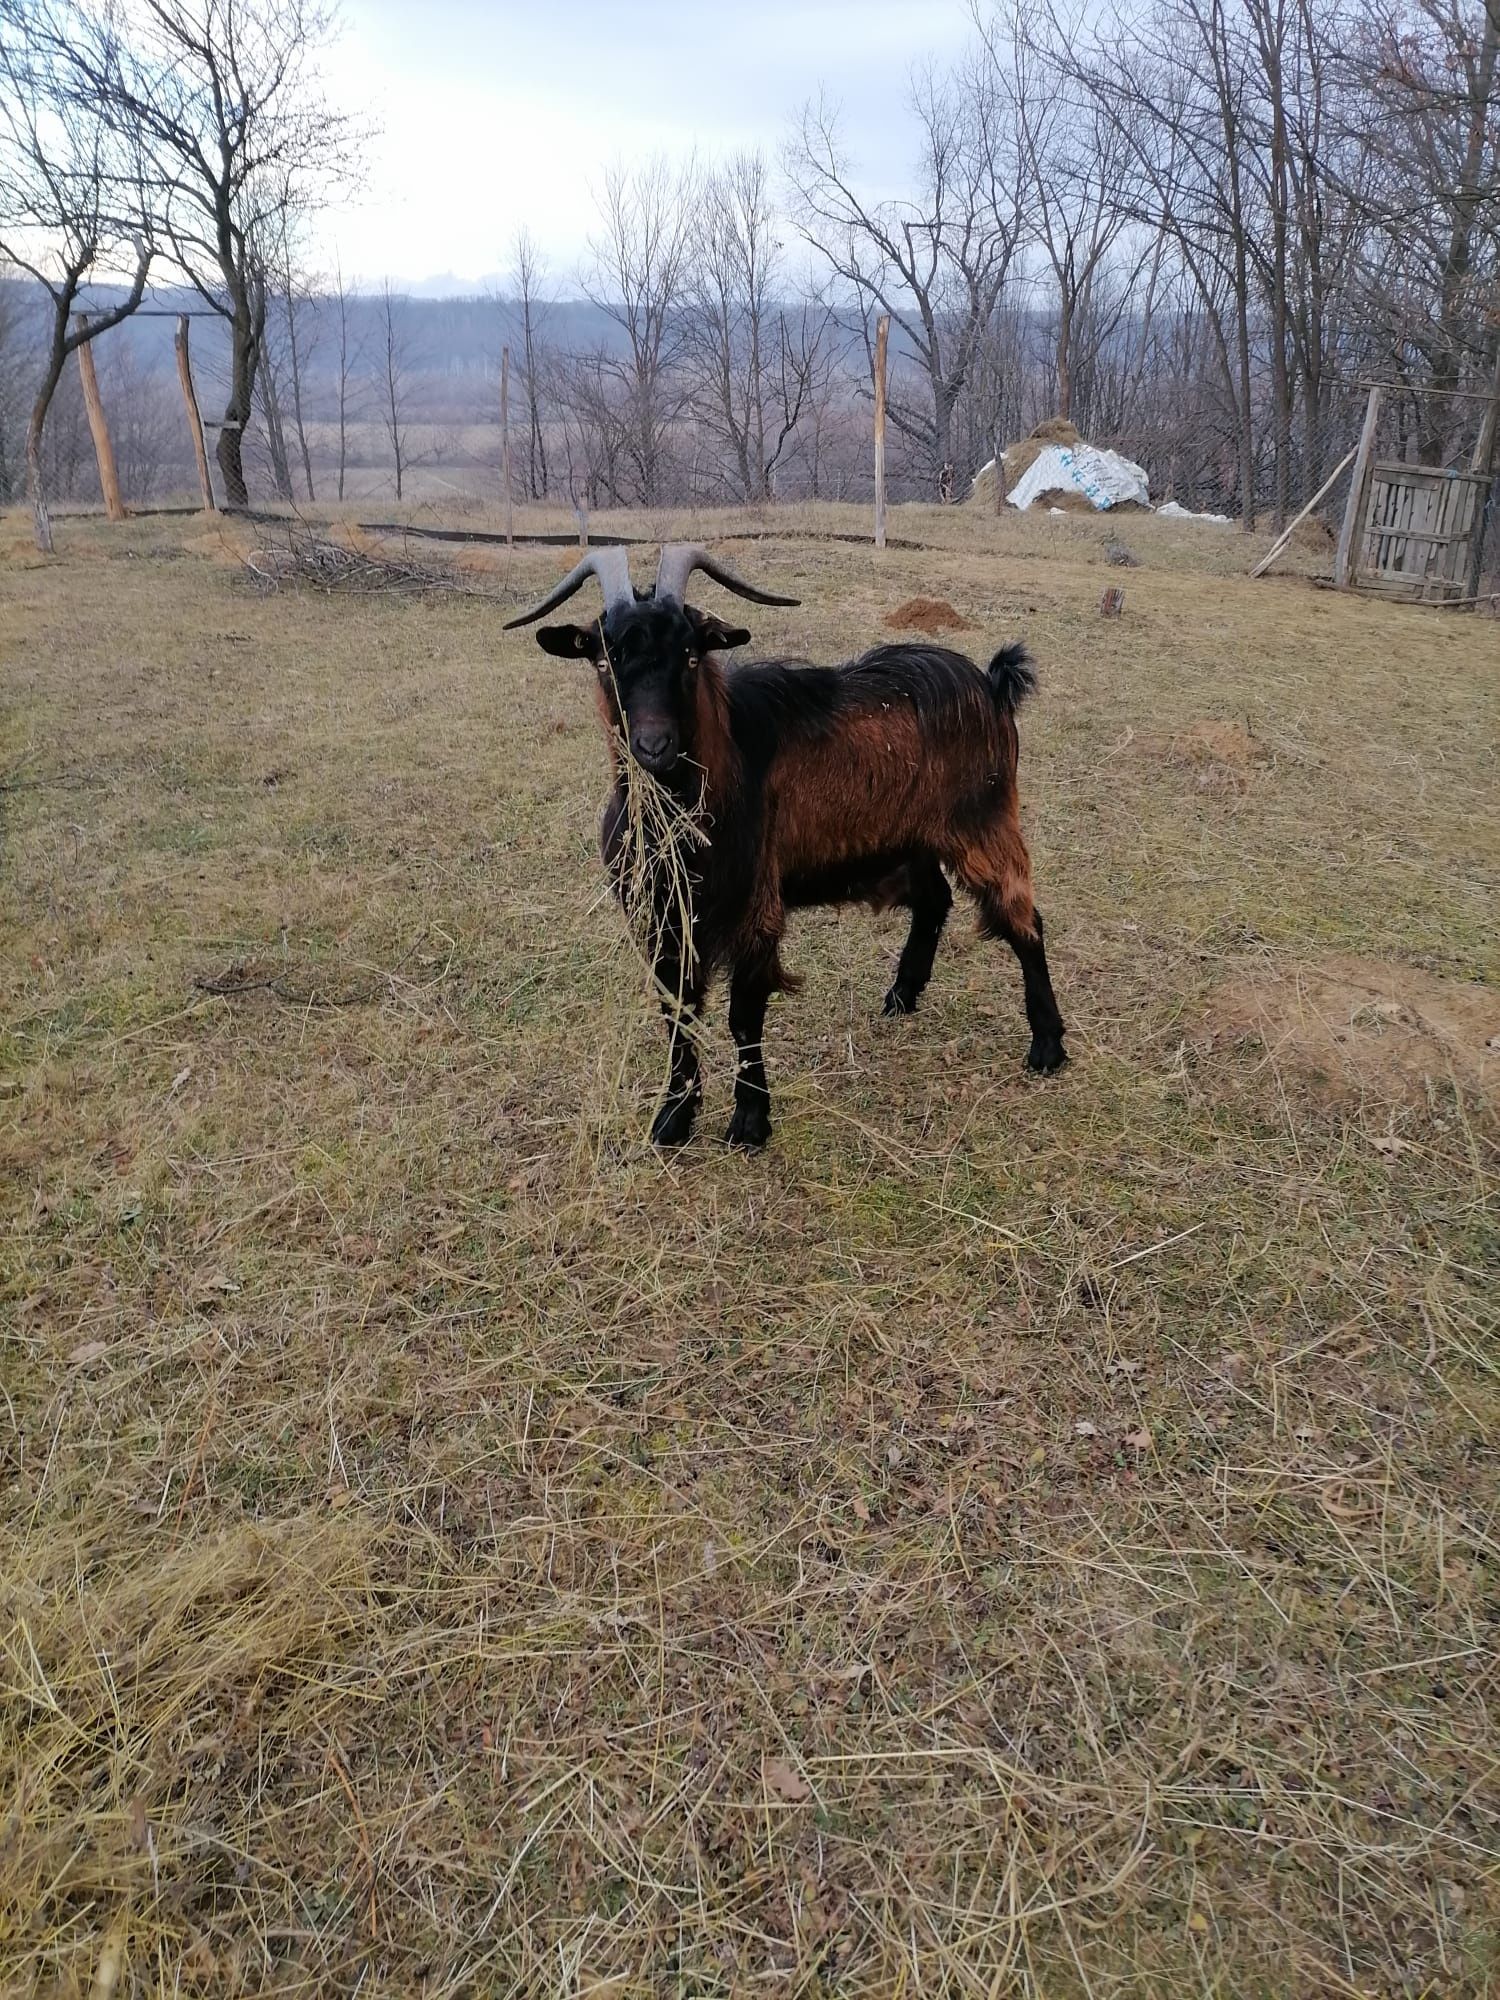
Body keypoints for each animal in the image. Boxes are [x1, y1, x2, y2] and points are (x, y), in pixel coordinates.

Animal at [508, 540, 1072, 1152]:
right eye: (604, 659)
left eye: (689, 655)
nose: (654, 746)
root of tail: (991, 683)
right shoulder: (663, 916)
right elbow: (677, 1011)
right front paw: (673, 1118)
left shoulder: (755, 907)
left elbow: (743, 1015)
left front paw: (750, 1121)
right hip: (909, 841)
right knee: (935, 902)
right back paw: (902, 996)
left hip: (983, 825)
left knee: (1024, 920)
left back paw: (1047, 1045)